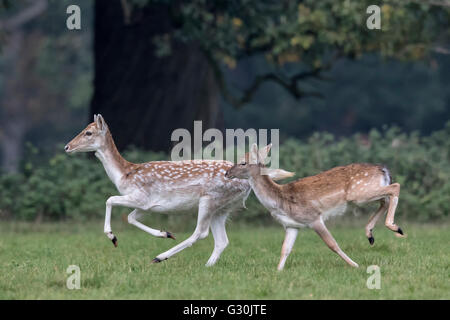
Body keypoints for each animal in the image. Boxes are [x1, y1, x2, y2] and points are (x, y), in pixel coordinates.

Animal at [64, 116, 296, 266]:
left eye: (88, 132)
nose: (67, 146)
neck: (124, 174)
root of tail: (248, 182)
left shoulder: (141, 197)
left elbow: (110, 199)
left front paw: (112, 237)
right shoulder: (148, 205)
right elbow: (130, 217)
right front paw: (165, 233)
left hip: (209, 199)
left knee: (200, 232)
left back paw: (160, 257)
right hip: (222, 208)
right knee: (222, 240)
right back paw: (207, 266)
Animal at [225, 144, 404, 268]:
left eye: (243, 162)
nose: (227, 172)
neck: (280, 201)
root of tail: (383, 169)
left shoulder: (313, 217)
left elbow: (332, 244)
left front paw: (355, 265)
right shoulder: (292, 225)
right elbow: (285, 249)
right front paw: (278, 271)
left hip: (360, 193)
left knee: (395, 187)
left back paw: (394, 227)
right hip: (364, 194)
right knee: (385, 199)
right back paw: (371, 234)